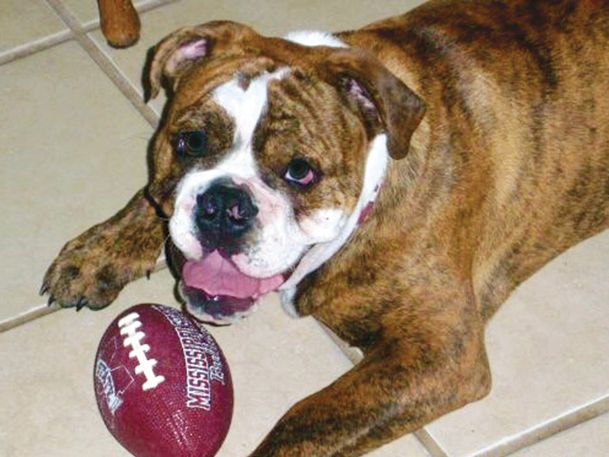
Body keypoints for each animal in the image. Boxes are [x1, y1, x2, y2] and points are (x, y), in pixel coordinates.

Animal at [41, 1, 608, 454]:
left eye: (300, 171)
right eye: (191, 142)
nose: (225, 205)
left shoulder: (440, 351)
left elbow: (305, 420)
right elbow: (150, 198)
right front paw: (99, 251)